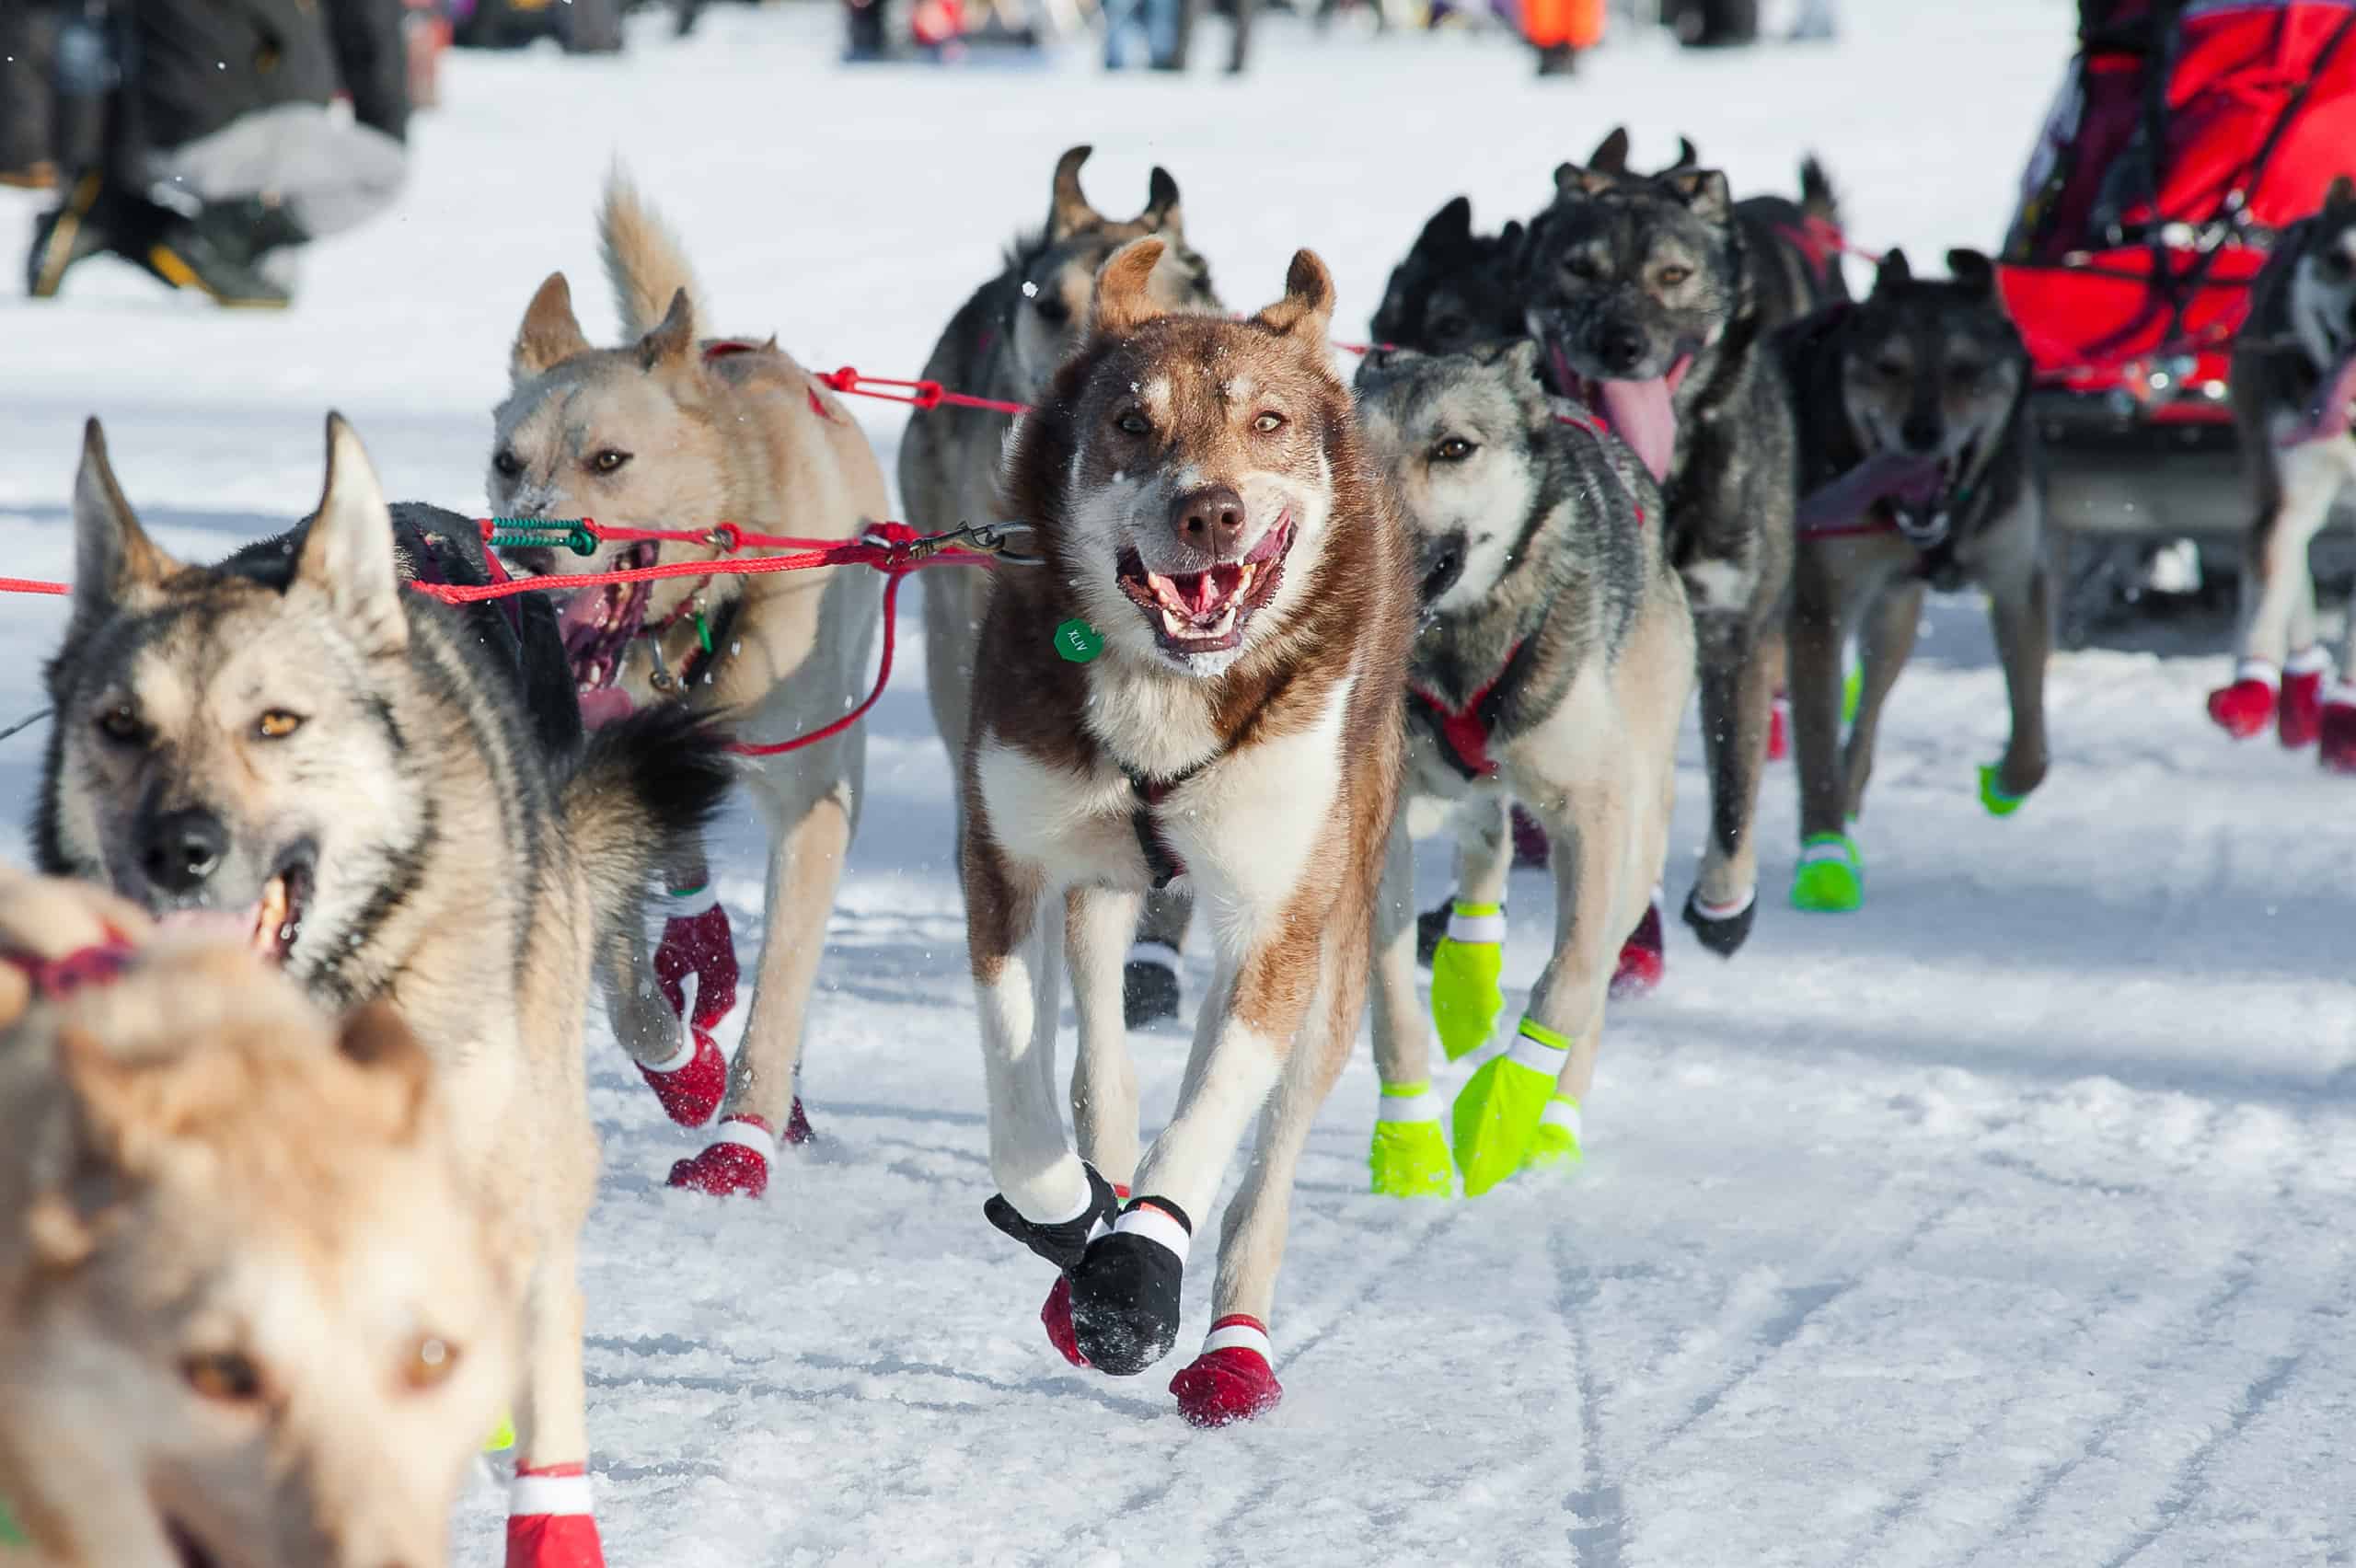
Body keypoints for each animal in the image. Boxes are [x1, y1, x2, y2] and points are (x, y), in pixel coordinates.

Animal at [492, 170, 895, 1191]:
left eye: (608, 460)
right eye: (507, 463)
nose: (521, 556)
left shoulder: (815, 804)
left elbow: (781, 997)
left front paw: (738, 1143)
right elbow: (625, 991)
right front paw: (684, 1071)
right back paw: (699, 946)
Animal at [961, 237, 1403, 1422]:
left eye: (1267, 420)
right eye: (1130, 421)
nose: (1210, 512)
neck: (1169, 692)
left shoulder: (1277, 921)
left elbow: (1209, 1122)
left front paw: (1138, 1265)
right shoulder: (1006, 866)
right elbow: (1022, 1103)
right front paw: (1073, 1214)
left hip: (1333, 946)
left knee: (1263, 1159)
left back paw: (1233, 1343)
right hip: (1099, 894)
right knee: (1103, 1066)